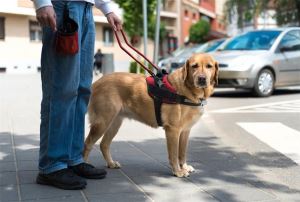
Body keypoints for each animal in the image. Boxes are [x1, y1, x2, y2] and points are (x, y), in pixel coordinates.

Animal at [82, 53, 218, 177]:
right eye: (194, 66)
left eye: (209, 66)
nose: (202, 78)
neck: (188, 91)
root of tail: (96, 82)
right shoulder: (173, 130)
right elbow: (174, 154)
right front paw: (178, 171)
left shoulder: (185, 131)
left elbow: (182, 152)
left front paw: (183, 167)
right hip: (102, 122)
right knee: (87, 143)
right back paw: (84, 166)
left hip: (114, 123)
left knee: (104, 144)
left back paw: (110, 163)